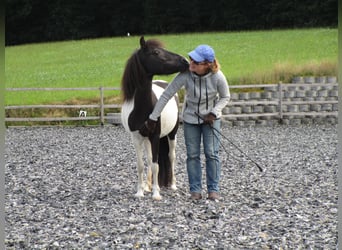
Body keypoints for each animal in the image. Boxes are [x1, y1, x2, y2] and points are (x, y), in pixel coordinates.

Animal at [120, 36, 190, 200]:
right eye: (156, 52)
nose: (185, 61)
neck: (141, 108)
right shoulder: (136, 138)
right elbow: (141, 165)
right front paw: (140, 192)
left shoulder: (156, 136)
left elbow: (155, 165)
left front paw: (156, 193)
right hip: (146, 139)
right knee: (149, 158)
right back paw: (147, 186)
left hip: (171, 135)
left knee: (171, 157)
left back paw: (172, 185)